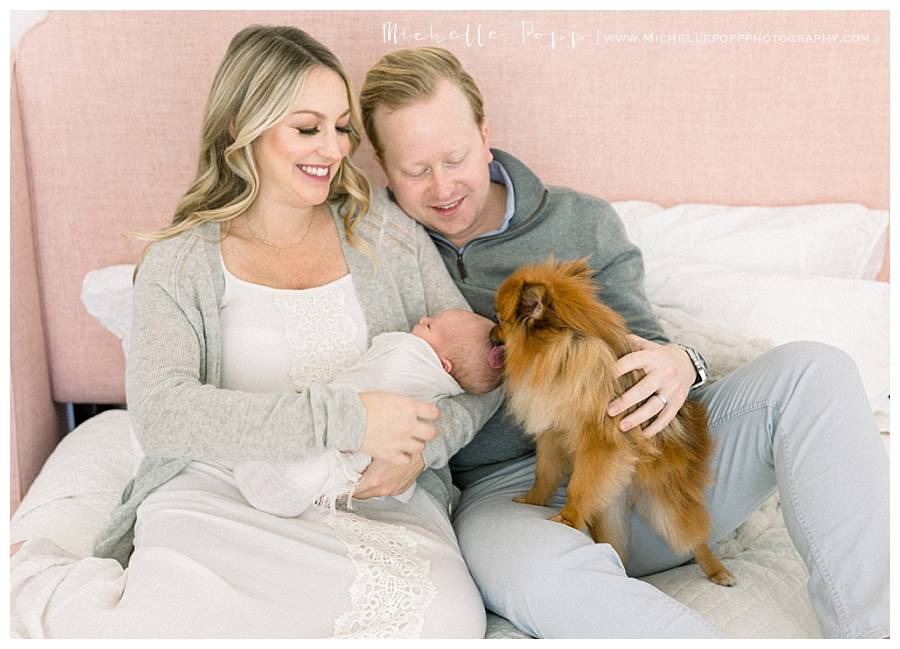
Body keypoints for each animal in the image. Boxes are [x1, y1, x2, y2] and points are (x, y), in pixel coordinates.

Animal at [488, 256, 736, 588]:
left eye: (498, 318)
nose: (487, 332)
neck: (562, 352)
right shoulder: (552, 434)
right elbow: (545, 473)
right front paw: (533, 499)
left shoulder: (601, 443)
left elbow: (577, 489)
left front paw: (567, 517)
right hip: (609, 512)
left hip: (666, 503)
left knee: (695, 537)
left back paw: (717, 570)